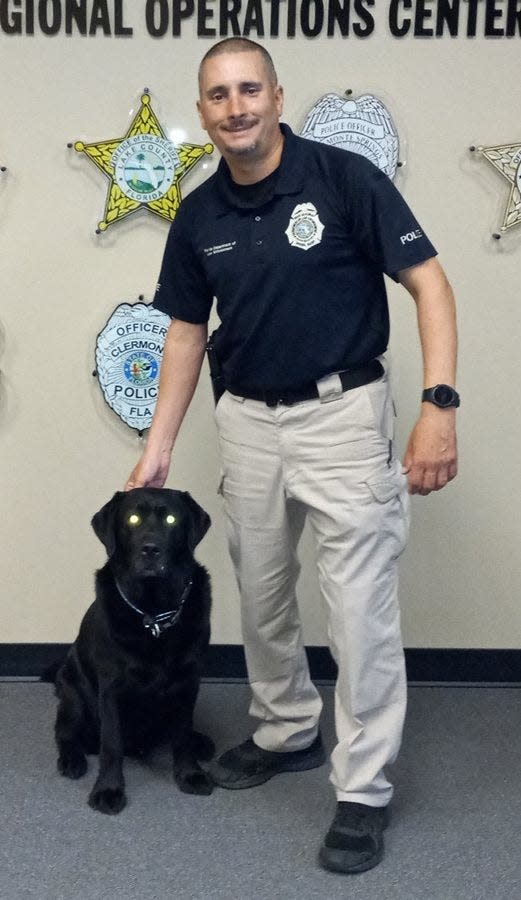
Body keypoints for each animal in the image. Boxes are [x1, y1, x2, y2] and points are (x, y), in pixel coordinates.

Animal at [52, 488, 213, 812]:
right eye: (133, 519)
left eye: (171, 519)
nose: (150, 549)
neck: (154, 614)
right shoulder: (112, 688)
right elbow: (112, 743)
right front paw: (108, 790)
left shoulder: (189, 681)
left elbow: (182, 735)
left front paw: (190, 774)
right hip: (73, 693)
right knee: (65, 732)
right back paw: (72, 760)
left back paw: (201, 741)